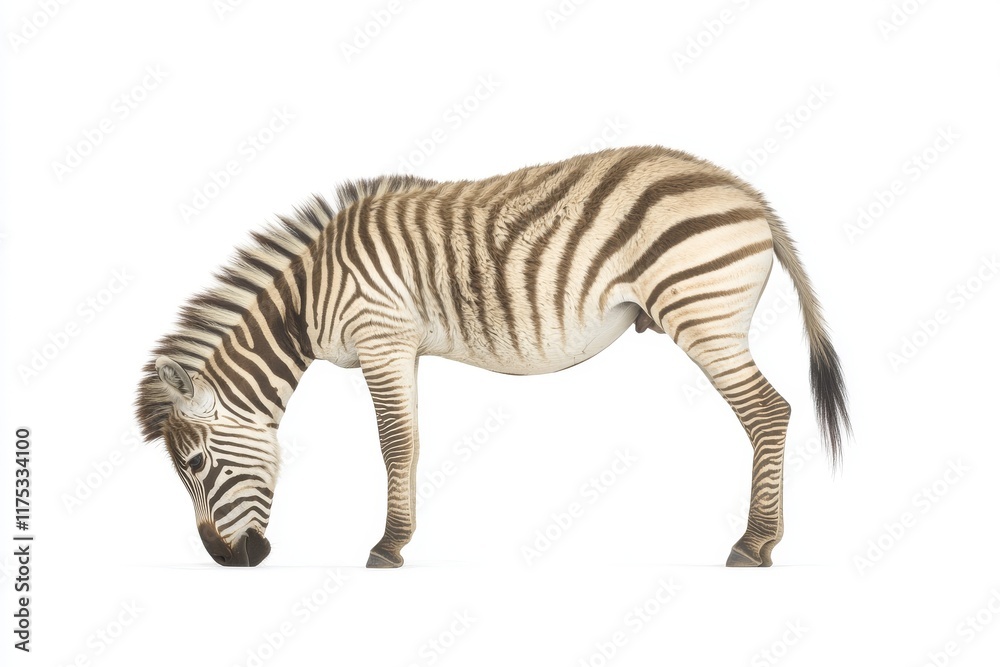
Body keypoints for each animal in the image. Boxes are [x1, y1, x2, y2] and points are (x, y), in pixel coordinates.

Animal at [136, 145, 850, 568]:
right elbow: (410, 442)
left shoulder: (380, 334)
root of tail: (746, 191)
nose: (227, 562)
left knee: (768, 413)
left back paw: (754, 543)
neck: (307, 301)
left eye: (194, 465)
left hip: (702, 315)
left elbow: (392, 442)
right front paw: (402, 536)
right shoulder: (401, 345)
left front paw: (386, 547)